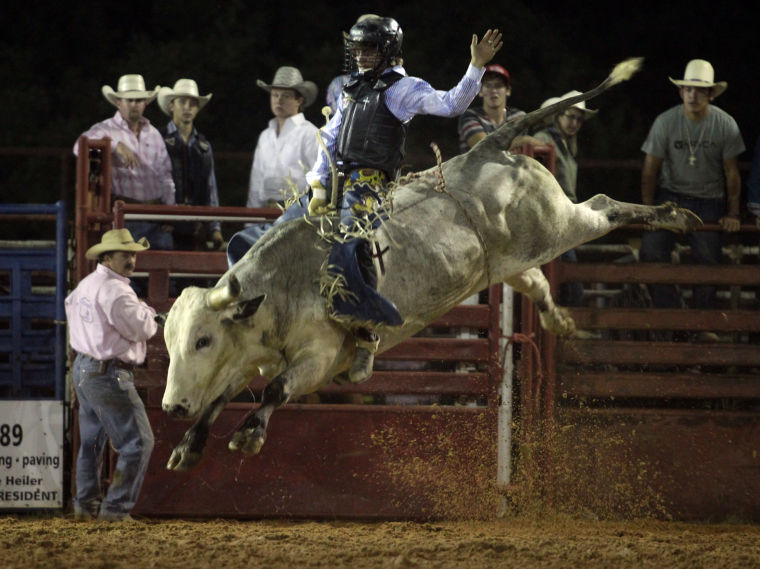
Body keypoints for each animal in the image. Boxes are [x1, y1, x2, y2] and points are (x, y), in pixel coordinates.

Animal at [159, 56, 700, 470]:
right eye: (169, 341)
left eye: (203, 339)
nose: (171, 406)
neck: (283, 285)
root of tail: (491, 147)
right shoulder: (245, 355)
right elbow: (221, 394)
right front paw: (187, 447)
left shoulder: (320, 358)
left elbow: (275, 388)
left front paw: (248, 435)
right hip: (510, 260)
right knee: (536, 281)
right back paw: (561, 321)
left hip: (557, 225)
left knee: (604, 206)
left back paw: (676, 215)